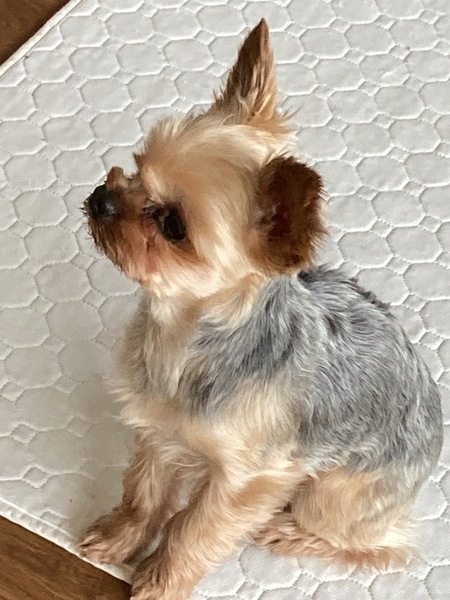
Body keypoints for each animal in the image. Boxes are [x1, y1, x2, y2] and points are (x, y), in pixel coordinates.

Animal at [79, 19, 443, 600]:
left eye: (173, 226)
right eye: (135, 168)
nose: (101, 198)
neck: (181, 334)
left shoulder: (248, 481)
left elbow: (194, 529)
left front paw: (160, 581)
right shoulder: (158, 429)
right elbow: (144, 491)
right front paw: (120, 538)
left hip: (333, 493)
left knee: (383, 548)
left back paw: (288, 532)